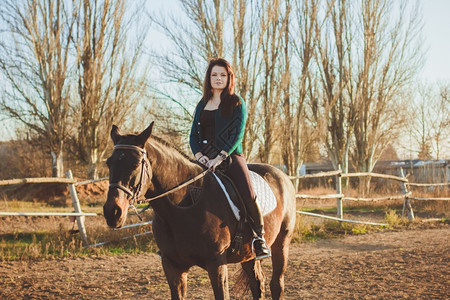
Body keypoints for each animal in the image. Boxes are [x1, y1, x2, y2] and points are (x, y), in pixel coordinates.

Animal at [103, 122, 298, 300]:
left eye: (136, 163)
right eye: (109, 163)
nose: (113, 212)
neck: (183, 206)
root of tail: (281, 175)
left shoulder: (216, 264)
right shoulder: (172, 266)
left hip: (282, 243)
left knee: (276, 284)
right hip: (248, 254)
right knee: (257, 283)